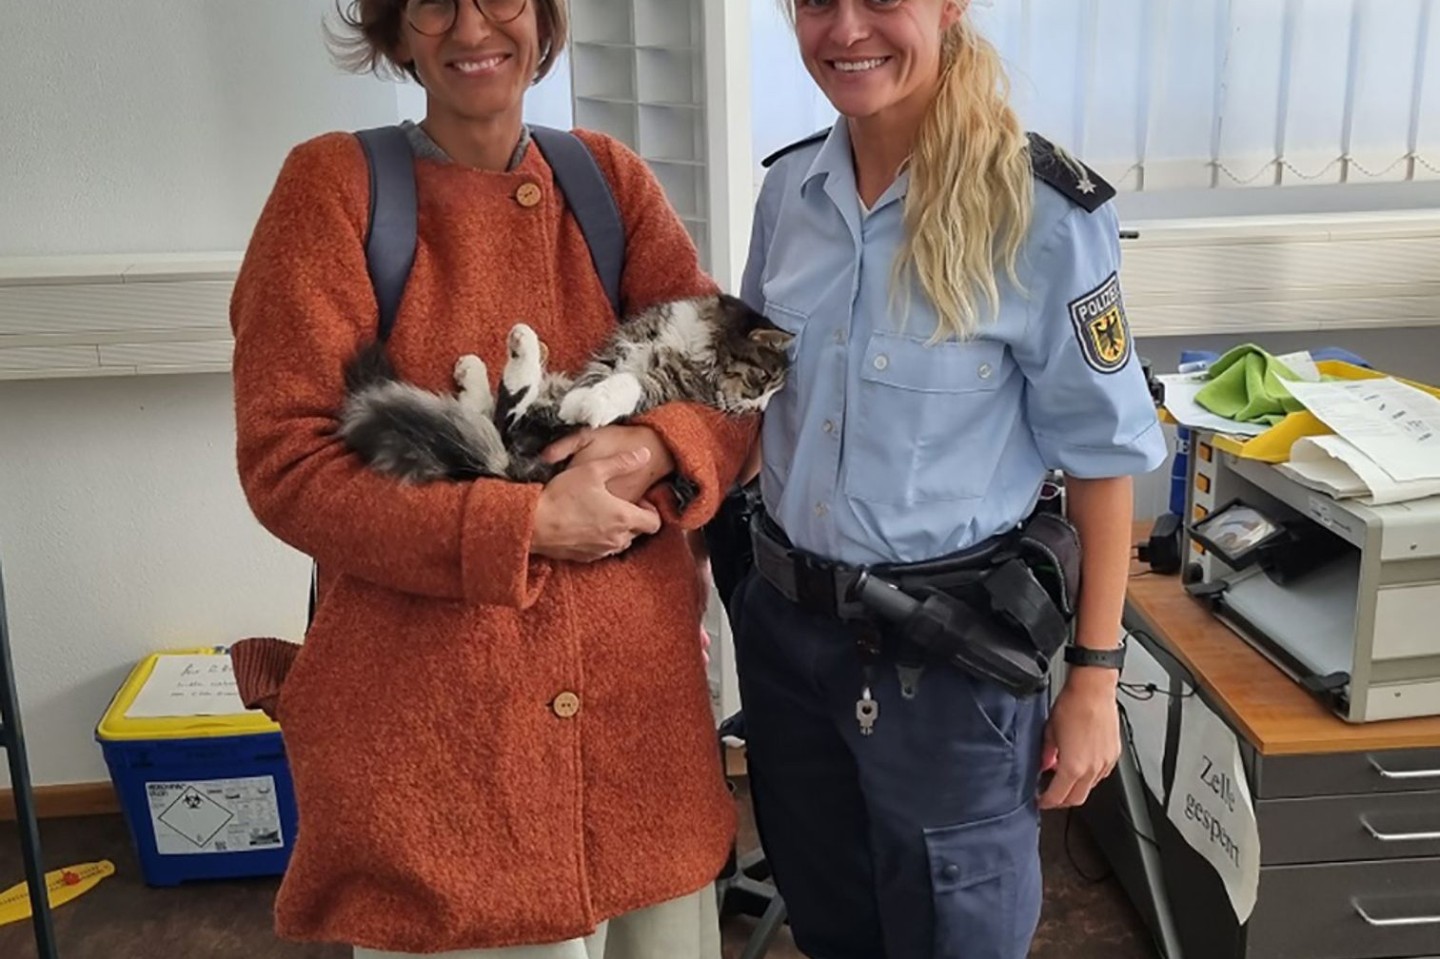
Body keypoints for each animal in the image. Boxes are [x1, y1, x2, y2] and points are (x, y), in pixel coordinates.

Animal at [335, 289, 794, 486]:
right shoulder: (620, 347)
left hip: (531, 434)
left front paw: (590, 404)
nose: (759, 411)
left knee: (506, 418)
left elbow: (627, 384)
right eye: (762, 381)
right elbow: (603, 377)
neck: (693, 345)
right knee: (503, 411)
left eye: (773, 393)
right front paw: (585, 398)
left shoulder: (662, 387)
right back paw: (503, 355)